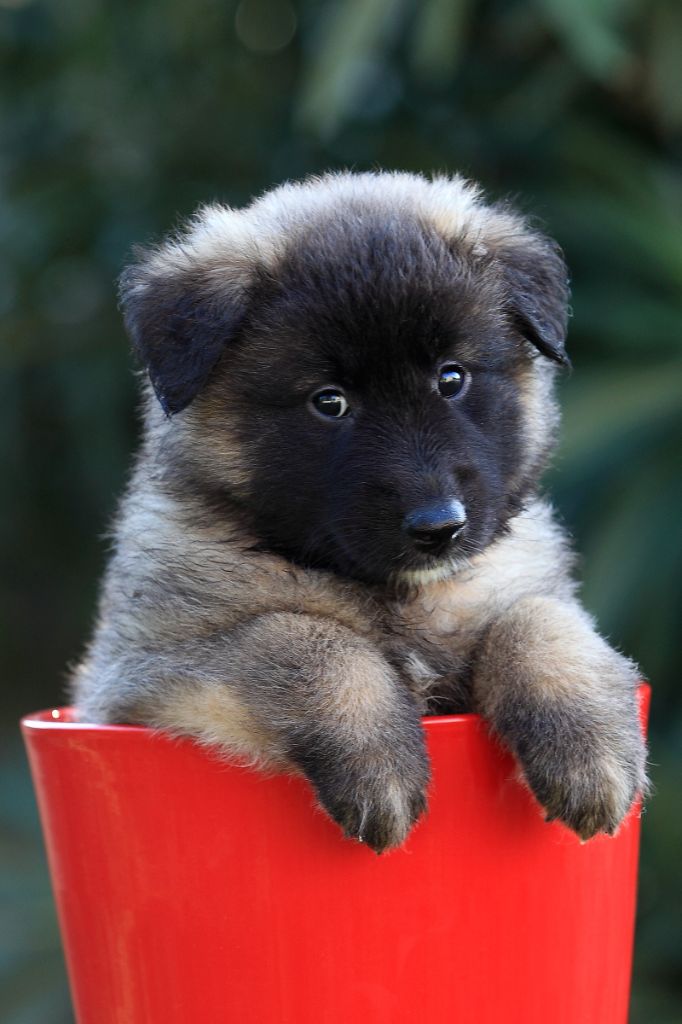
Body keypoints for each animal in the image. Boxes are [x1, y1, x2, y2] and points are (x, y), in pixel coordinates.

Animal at [72, 171, 647, 852]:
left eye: (451, 378)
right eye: (330, 402)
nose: (439, 527)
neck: (401, 596)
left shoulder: (514, 580)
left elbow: (540, 620)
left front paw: (589, 751)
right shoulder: (145, 673)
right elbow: (296, 636)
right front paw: (378, 764)